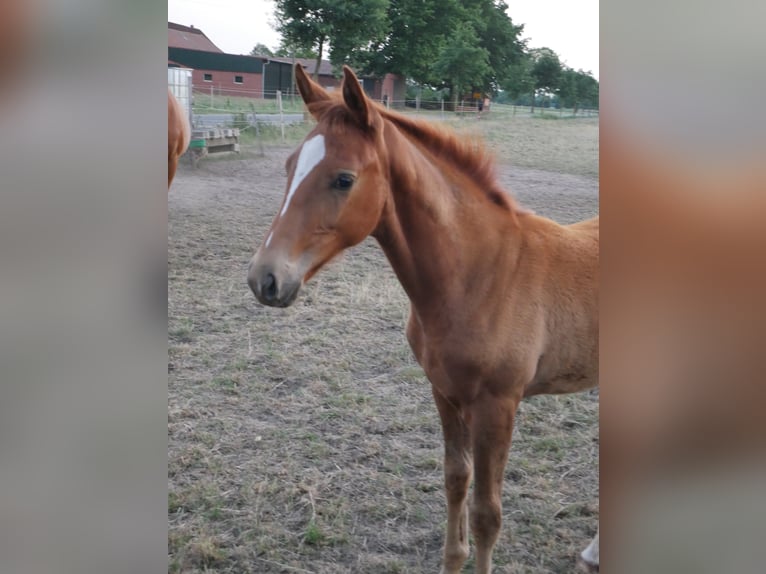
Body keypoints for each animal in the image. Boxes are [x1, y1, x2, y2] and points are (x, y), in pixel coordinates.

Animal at [249, 65, 604, 572]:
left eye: (343, 179)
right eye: (289, 166)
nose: (265, 279)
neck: (479, 275)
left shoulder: (498, 405)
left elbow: (487, 514)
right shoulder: (444, 392)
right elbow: (456, 480)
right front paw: (451, 560)